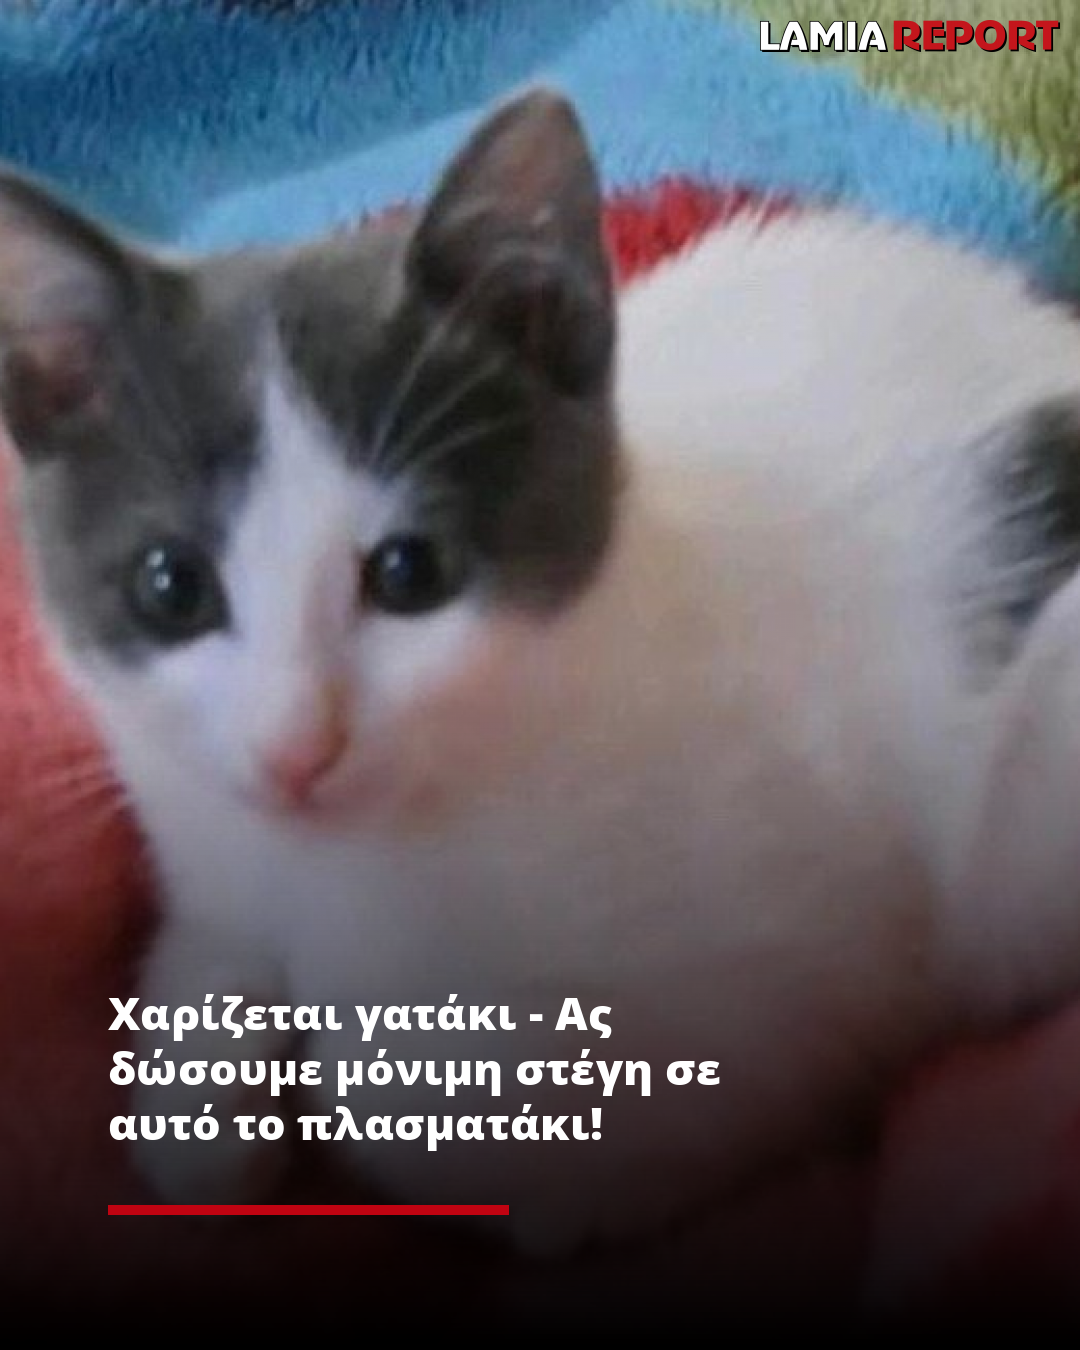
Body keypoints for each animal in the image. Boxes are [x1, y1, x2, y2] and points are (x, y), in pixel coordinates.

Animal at [2, 88, 1080, 1259]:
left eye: (409, 572)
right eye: (171, 586)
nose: (295, 747)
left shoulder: (826, 963)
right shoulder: (207, 842)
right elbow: (216, 962)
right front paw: (204, 1113)